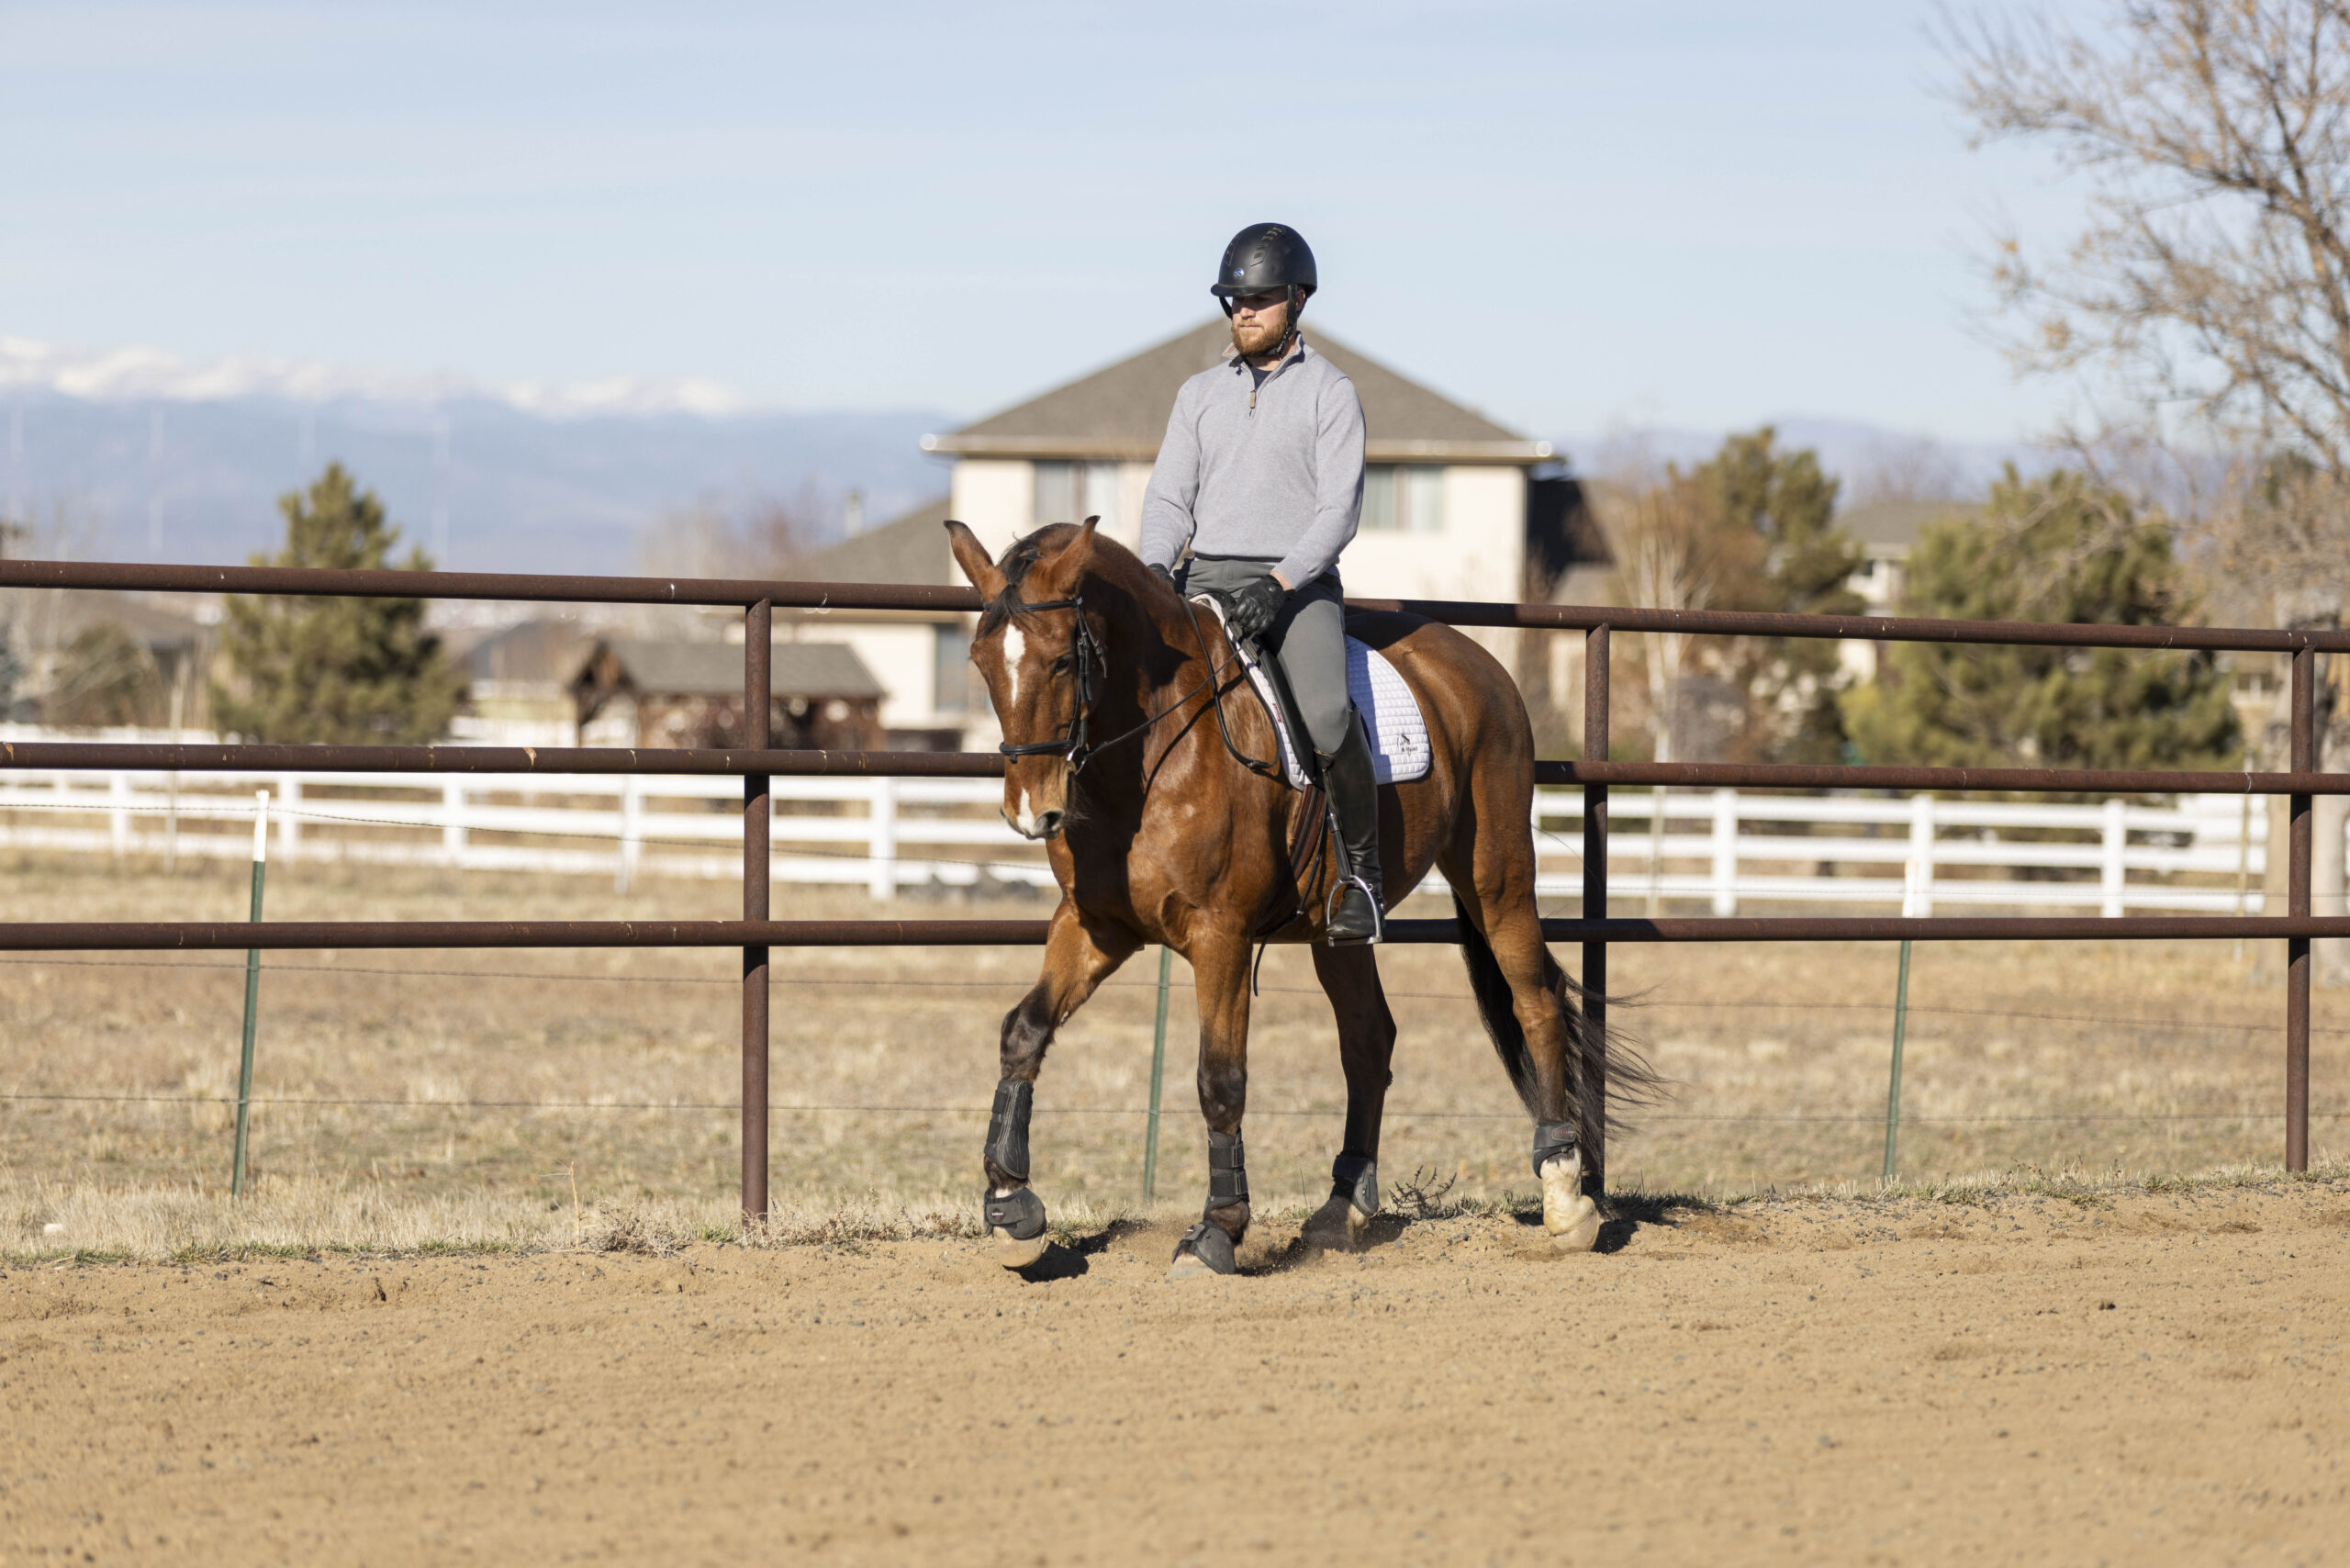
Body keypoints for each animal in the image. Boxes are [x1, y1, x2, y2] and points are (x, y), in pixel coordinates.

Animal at [947, 516, 1650, 1277]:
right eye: (980, 662)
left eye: (1059, 663)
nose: (1031, 812)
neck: (1153, 751)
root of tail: (1473, 660)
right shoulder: (1096, 926)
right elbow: (1023, 1031)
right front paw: (1011, 1208)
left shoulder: (1219, 936)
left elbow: (1220, 1079)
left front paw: (1217, 1230)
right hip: (1336, 930)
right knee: (1370, 1040)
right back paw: (1344, 1209)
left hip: (1497, 876)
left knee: (1536, 1005)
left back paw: (1565, 1200)